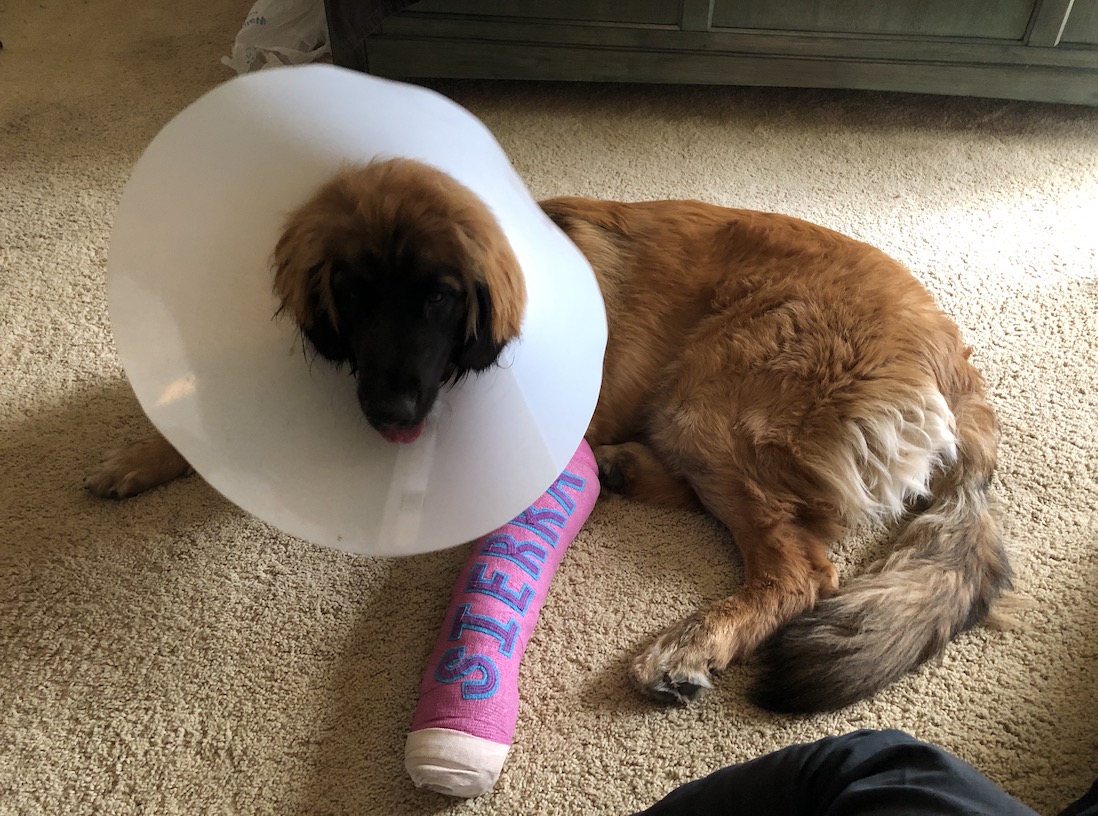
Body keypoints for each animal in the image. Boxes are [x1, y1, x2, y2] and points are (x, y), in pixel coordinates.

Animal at [90, 155, 1014, 711]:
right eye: (353, 294)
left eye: (439, 298)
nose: (391, 415)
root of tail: (953, 357)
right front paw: (140, 451)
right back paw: (622, 466)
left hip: (716, 394)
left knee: (801, 568)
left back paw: (691, 642)